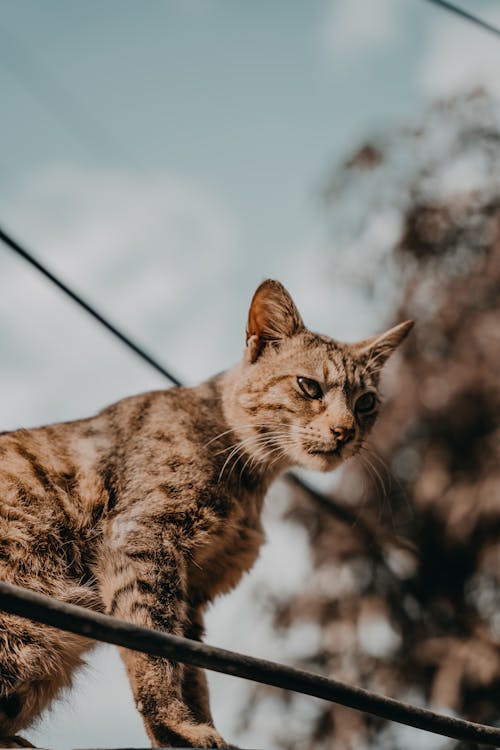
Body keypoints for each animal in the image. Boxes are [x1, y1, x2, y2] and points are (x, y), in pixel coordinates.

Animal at [0, 280, 412, 748]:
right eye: (309, 387)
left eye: (366, 403)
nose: (346, 432)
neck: (250, 480)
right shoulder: (143, 541)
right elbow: (156, 646)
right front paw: (174, 723)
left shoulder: (194, 593)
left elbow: (193, 670)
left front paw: (198, 726)